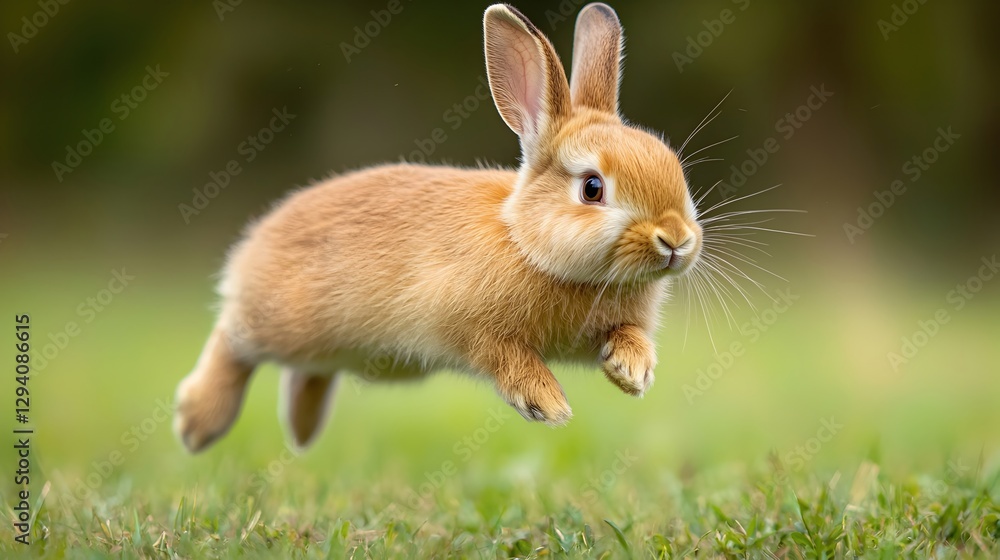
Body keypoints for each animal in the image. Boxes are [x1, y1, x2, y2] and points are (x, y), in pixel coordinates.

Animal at [173, 2, 703, 453]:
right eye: (593, 188)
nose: (676, 240)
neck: (525, 241)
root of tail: (257, 239)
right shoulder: (469, 326)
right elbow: (506, 357)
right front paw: (547, 404)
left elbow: (629, 334)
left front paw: (632, 371)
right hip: (284, 322)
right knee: (232, 339)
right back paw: (197, 423)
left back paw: (301, 432)